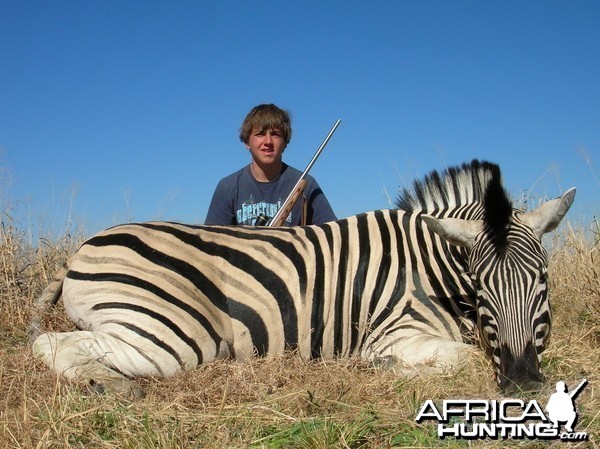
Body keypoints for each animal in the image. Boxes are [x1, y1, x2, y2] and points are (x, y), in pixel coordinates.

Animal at [30, 159, 576, 398]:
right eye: (482, 285)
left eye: (542, 282)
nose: (524, 383)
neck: (431, 267)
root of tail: (84, 247)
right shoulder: (393, 333)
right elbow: (462, 361)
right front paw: (386, 371)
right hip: (173, 334)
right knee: (49, 347)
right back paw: (109, 386)